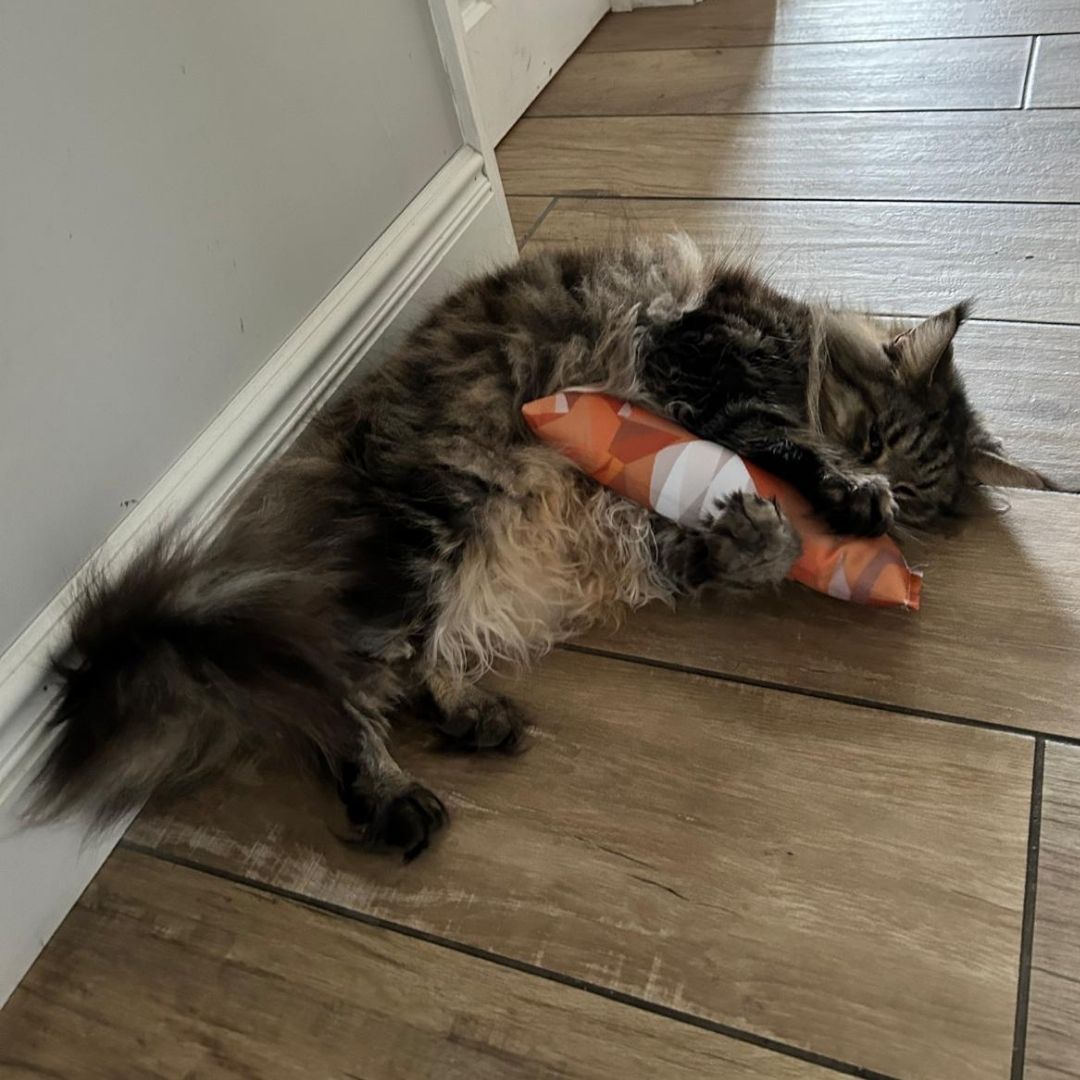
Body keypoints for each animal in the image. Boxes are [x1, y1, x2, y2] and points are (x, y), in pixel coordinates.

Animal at [30, 236, 1058, 859]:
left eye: (921, 488)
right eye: (872, 436)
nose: (880, 486)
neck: (802, 334)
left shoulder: (663, 507)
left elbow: (734, 538)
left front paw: (768, 535)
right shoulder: (705, 354)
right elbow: (777, 436)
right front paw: (841, 494)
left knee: (414, 666)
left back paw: (473, 719)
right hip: (433, 520)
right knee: (342, 690)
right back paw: (391, 794)